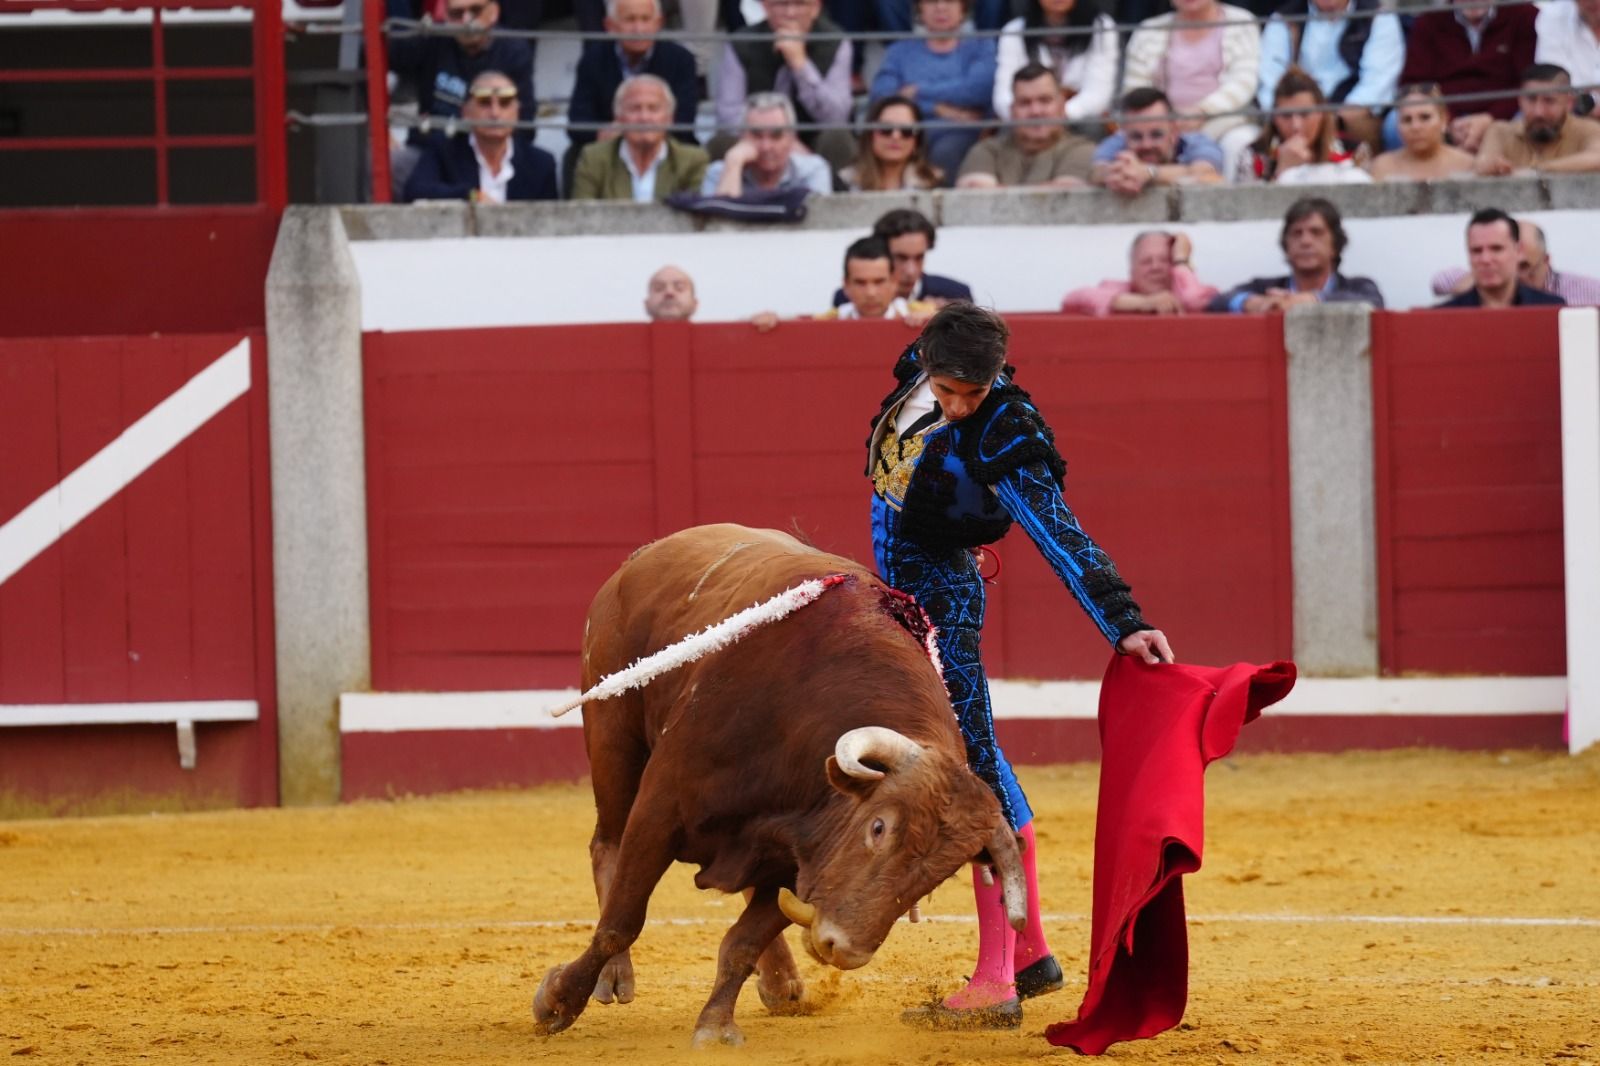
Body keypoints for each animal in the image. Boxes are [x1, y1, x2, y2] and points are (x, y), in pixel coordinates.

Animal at [534, 521, 1024, 1043]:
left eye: (939, 875)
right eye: (878, 828)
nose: (842, 948)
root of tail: (645, 555)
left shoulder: (801, 859)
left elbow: (742, 942)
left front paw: (715, 1028)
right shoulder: (660, 809)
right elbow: (621, 922)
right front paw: (558, 1000)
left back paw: (781, 982)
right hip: (612, 731)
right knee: (606, 844)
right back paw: (614, 977)